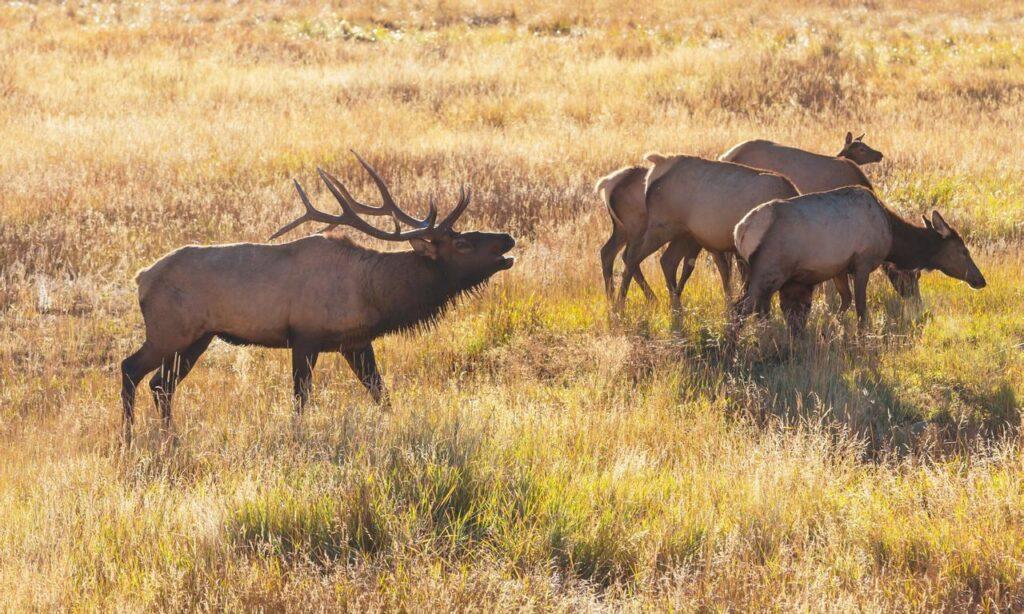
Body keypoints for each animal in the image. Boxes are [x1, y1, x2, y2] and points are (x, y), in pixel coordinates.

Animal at [119, 151, 516, 444]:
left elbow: (381, 394)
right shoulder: (304, 336)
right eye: (462, 244)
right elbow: (301, 399)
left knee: (161, 384)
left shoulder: (355, 343)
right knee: (132, 369)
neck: (372, 294)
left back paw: (171, 439)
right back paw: (129, 438)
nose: (508, 238)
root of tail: (141, 278)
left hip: (199, 337)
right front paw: (298, 437)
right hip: (169, 330)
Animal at [598, 165, 733, 304]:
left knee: (608, 252)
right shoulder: (698, 239)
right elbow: (700, 266)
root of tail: (608, 183)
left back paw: (612, 300)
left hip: (622, 230)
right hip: (637, 229)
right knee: (628, 256)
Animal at [614, 155, 798, 311]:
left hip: (685, 233)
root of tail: (657, 166)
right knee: (632, 257)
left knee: (667, 260)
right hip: (662, 226)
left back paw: (676, 306)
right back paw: (620, 305)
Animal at [733, 186, 987, 335]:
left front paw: (831, 325)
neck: (892, 237)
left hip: (748, 271)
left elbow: (844, 301)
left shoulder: (839, 268)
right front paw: (862, 335)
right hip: (769, 270)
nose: (980, 280)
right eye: (963, 251)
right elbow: (861, 308)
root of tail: (740, 231)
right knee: (741, 307)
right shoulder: (863, 263)